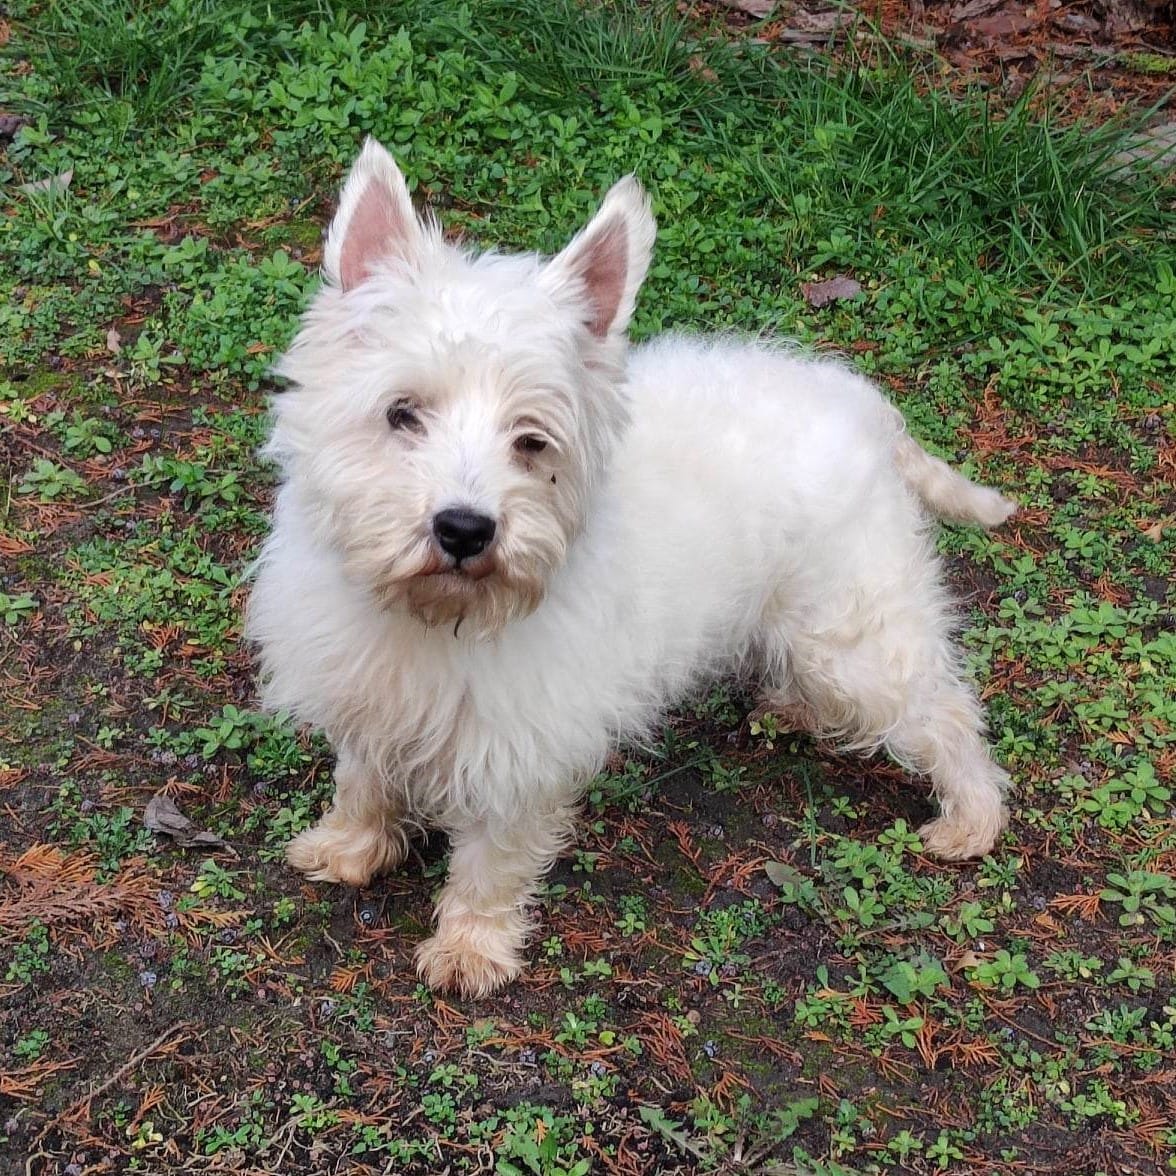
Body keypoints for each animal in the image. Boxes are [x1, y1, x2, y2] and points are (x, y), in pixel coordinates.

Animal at [247, 138, 1016, 997]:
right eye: (401, 412)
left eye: (532, 440)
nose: (465, 529)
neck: (438, 616)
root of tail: (869, 410)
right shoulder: (365, 690)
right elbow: (363, 779)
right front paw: (349, 847)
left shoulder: (523, 745)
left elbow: (491, 861)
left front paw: (471, 947)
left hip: (854, 637)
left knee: (945, 712)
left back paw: (970, 819)